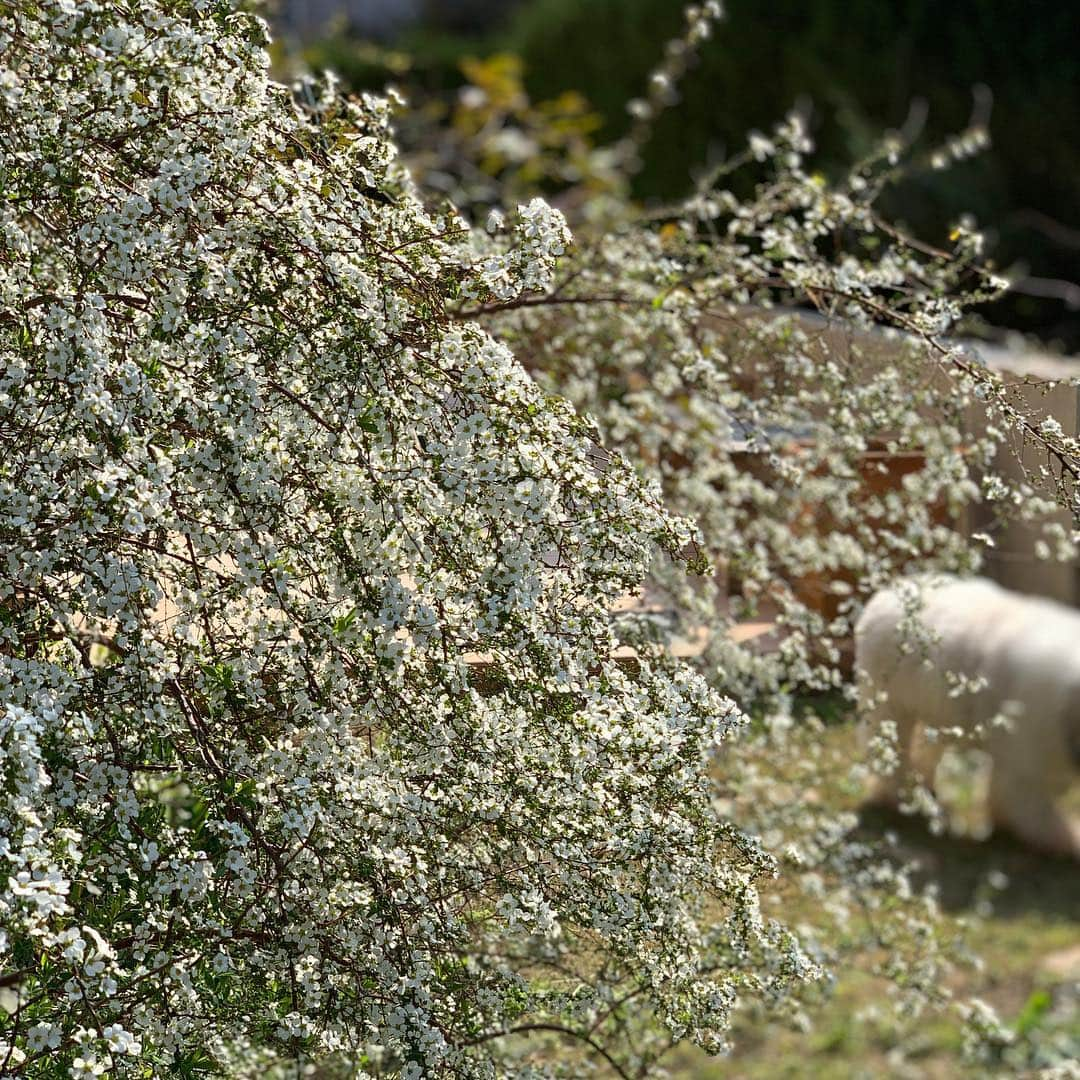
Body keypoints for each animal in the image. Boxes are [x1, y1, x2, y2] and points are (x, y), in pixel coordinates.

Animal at [855, 574, 1075, 859]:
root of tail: (889, 590)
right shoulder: (1026, 753)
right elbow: (1027, 800)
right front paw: (1067, 839)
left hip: (934, 706)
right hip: (891, 700)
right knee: (891, 750)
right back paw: (900, 794)